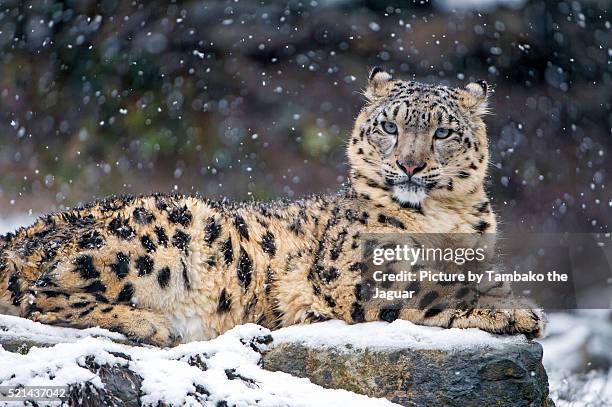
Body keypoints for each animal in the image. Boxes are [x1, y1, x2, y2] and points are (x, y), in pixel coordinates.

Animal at [0, 68, 544, 346]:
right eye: (390, 126)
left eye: (443, 132)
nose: (409, 165)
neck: (445, 221)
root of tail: (23, 232)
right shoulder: (357, 275)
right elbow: (433, 292)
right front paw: (517, 313)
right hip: (159, 238)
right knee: (40, 296)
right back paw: (149, 323)